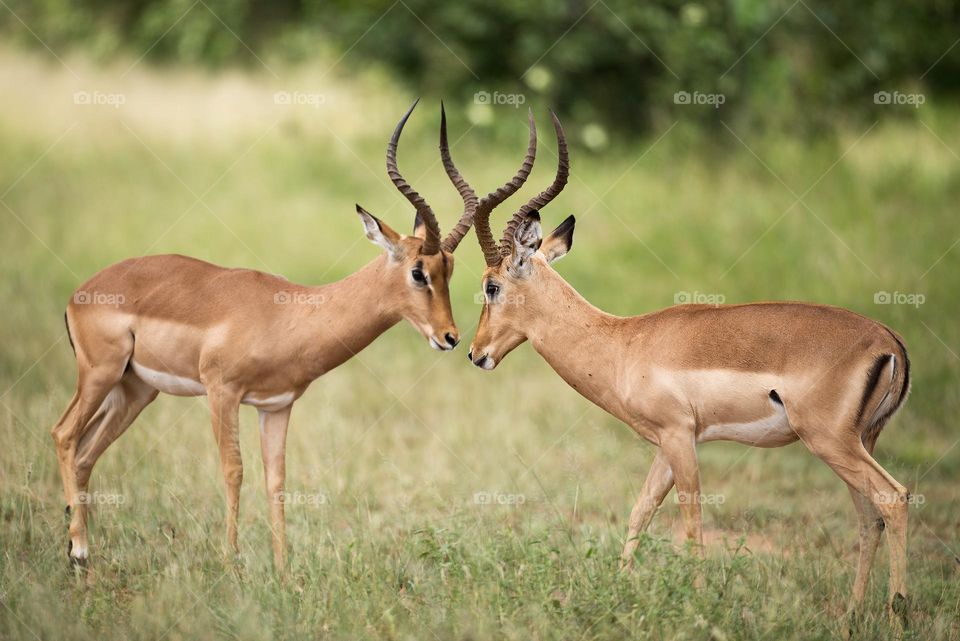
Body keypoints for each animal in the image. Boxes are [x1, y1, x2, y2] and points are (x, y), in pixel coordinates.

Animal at [51, 101, 538, 572]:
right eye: (418, 272)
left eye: (450, 270)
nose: (450, 337)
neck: (290, 314)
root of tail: (80, 293)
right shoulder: (222, 392)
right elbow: (234, 470)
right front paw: (231, 564)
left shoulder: (276, 406)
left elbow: (277, 480)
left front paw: (285, 575)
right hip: (100, 374)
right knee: (64, 434)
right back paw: (78, 551)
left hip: (135, 390)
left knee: (87, 451)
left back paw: (81, 550)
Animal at [462, 112, 912, 621]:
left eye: (492, 286)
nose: (476, 353)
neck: (622, 343)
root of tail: (888, 341)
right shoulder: (665, 442)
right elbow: (640, 511)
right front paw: (622, 589)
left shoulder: (680, 436)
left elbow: (691, 519)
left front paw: (698, 600)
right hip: (859, 441)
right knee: (869, 518)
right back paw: (853, 612)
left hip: (831, 441)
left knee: (892, 498)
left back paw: (897, 611)